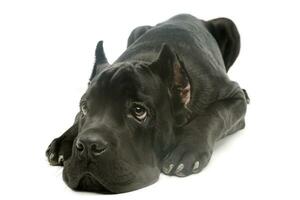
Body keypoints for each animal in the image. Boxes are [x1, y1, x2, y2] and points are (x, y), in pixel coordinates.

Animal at [45, 14, 250, 194]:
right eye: (85, 107)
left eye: (139, 111)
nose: (88, 146)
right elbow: (76, 120)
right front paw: (64, 141)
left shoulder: (234, 98)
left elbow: (214, 115)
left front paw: (186, 150)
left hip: (229, 26)